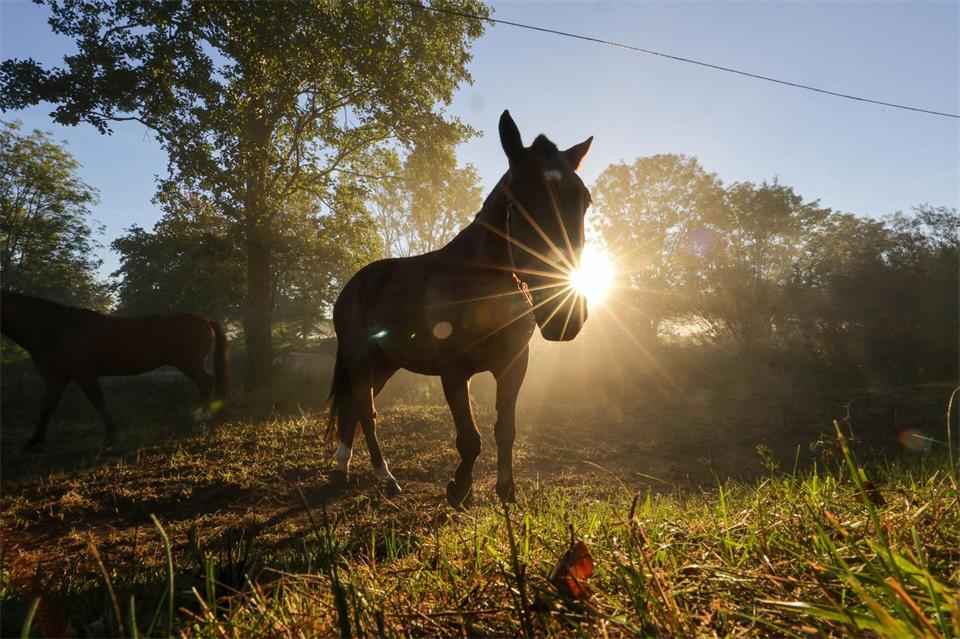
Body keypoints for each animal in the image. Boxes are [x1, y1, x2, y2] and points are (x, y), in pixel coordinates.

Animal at [0, 290, 228, 449]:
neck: (56, 329)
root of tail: (206, 321)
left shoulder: (83, 374)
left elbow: (99, 402)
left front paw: (113, 434)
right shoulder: (56, 377)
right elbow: (47, 408)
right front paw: (34, 441)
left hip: (188, 363)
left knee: (206, 382)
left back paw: (200, 416)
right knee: (206, 383)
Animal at [326, 110, 593, 507]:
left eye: (584, 201)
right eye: (516, 204)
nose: (565, 316)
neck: (478, 284)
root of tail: (355, 283)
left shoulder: (513, 366)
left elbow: (505, 429)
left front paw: (506, 489)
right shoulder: (454, 372)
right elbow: (469, 438)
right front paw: (460, 489)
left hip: (384, 363)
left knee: (354, 410)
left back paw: (343, 468)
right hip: (360, 360)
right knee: (366, 413)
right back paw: (384, 477)